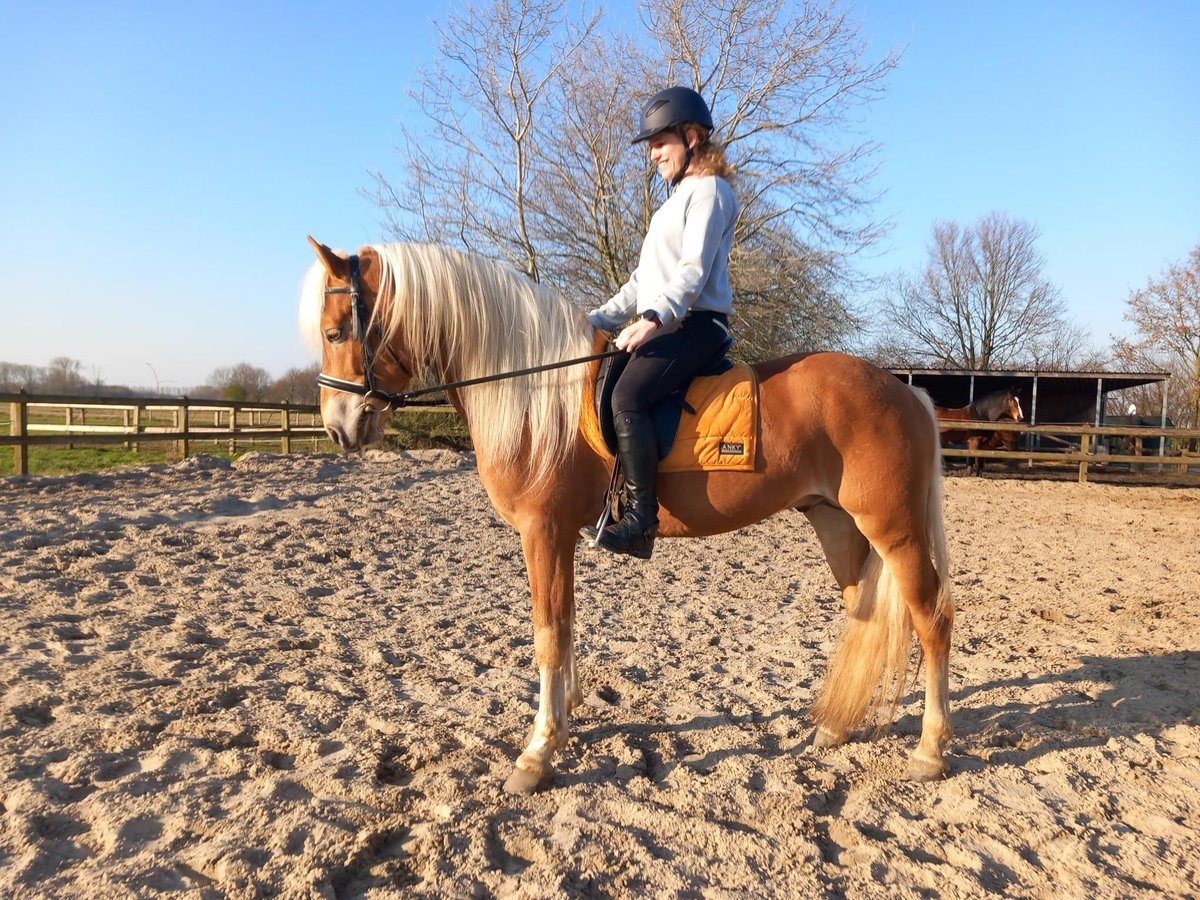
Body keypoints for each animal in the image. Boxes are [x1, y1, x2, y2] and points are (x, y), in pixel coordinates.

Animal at [302, 240, 955, 796]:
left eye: (336, 331)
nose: (337, 428)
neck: (538, 396)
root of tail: (906, 391)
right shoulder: (559, 537)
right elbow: (564, 628)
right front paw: (563, 723)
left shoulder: (543, 533)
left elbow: (547, 635)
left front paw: (537, 753)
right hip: (835, 522)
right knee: (866, 613)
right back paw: (837, 727)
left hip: (893, 528)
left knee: (931, 618)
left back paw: (928, 751)